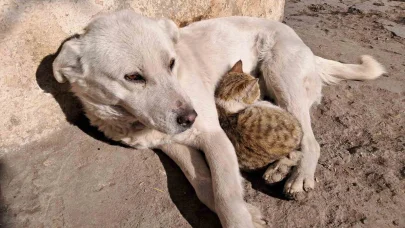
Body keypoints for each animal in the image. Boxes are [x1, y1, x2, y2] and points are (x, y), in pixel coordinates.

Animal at [52, 9, 384, 227]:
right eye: (133, 77)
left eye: (171, 63)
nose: (191, 117)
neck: (134, 123)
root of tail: (305, 46)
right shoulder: (172, 145)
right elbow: (202, 184)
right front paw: (250, 211)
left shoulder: (215, 137)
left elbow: (225, 194)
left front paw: (241, 215)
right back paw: (280, 168)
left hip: (280, 76)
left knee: (310, 139)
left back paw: (299, 177)